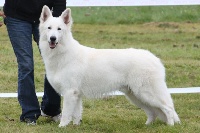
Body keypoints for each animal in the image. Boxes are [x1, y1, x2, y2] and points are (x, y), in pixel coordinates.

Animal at [38, 5, 180, 127]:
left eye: (59, 29)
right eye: (49, 28)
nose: (52, 38)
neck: (63, 54)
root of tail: (155, 58)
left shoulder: (69, 93)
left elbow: (66, 114)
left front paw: (62, 127)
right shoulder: (76, 95)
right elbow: (76, 114)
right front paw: (76, 126)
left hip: (146, 93)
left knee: (168, 108)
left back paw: (170, 125)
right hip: (136, 96)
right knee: (152, 112)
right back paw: (148, 125)